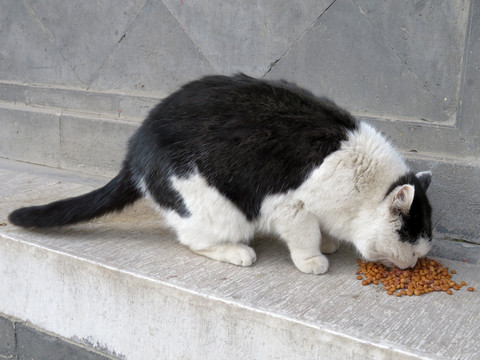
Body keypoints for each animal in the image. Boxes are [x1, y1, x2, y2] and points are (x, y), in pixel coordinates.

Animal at [9, 74, 434, 274]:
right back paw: (237, 251)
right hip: (216, 208)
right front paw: (313, 258)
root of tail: (134, 152)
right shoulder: (290, 205)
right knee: (193, 240)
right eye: (413, 248)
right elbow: (304, 234)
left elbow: (323, 228)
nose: (413, 266)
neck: (362, 184)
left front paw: (329, 242)